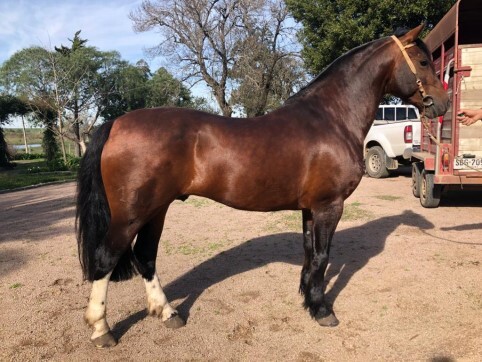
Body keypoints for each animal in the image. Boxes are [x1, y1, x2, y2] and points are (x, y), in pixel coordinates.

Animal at [75, 24, 448, 346]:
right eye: (424, 61)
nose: (442, 104)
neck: (331, 118)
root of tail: (116, 123)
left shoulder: (310, 209)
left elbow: (310, 253)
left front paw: (307, 300)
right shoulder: (329, 206)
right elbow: (323, 256)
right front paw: (322, 310)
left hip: (157, 210)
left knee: (145, 256)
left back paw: (167, 313)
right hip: (131, 214)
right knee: (106, 258)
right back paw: (101, 330)